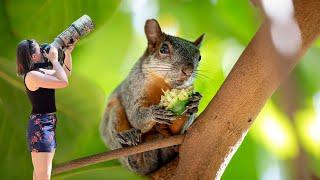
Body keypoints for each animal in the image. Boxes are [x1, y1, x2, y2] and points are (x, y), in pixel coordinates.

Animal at [100, 19, 204, 175]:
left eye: (199, 57)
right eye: (163, 49)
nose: (188, 71)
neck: (162, 84)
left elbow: (177, 131)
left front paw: (194, 103)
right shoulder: (132, 90)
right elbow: (135, 116)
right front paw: (153, 113)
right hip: (113, 119)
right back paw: (129, 140)